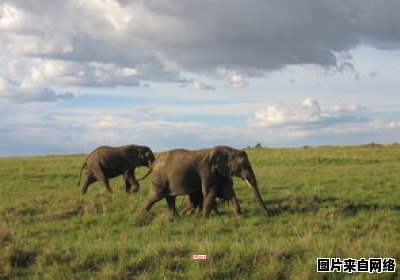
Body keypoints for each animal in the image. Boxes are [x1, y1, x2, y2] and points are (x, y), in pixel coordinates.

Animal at [139, 145, 268, 218]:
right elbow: (210, 192)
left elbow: (228, 192)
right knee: (154, 197)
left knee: (170, 198)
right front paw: (204, 219)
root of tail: (154, 164)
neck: (227, 150)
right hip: (159, 178)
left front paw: (240, 217)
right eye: (242, 166)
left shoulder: (220, 172)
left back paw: (175, 218)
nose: (269, 214)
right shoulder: (206, 170)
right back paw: (139, 216)